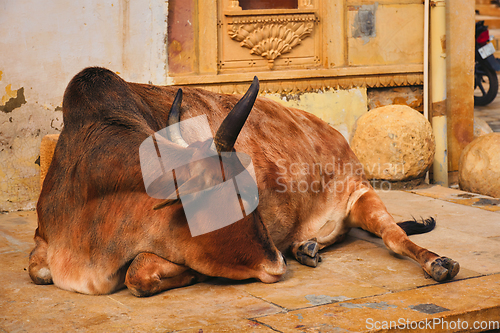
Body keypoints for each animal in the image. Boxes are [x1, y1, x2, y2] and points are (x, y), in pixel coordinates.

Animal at [28, 67, 460, 296]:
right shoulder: (42, 242)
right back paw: (306, 247)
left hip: (363, 193)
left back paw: (438, 263)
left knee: (395, 237)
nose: (277, 263)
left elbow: (137, 275)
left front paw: (195, 274)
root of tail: (335, 135)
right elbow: (39, 272)